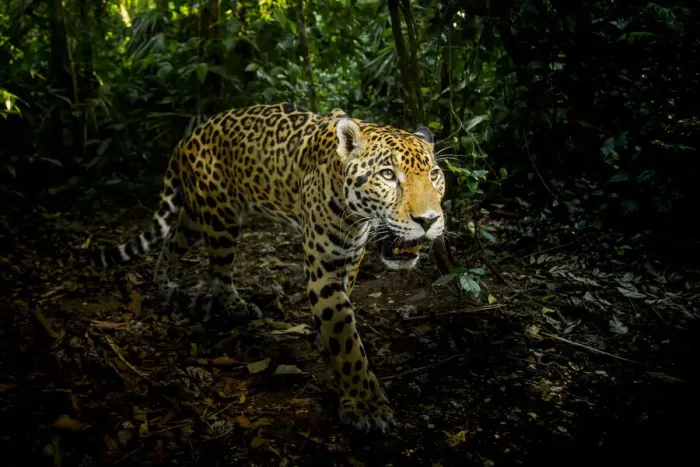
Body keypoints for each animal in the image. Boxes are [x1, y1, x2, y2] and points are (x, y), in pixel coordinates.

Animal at [89, 103, 446, 432]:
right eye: (387, 175)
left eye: (434, 175)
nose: (429, 220)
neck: (356, 215)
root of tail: (189, 136)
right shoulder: (323, 268)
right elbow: (345, 338)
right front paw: (365, 404)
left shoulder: (351, 255)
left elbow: (344, 306)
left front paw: (324, 342)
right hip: (221, 218)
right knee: (219, 270)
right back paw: (236, 307)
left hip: (193, 215)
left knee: (172, 242)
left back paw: (164, 286)